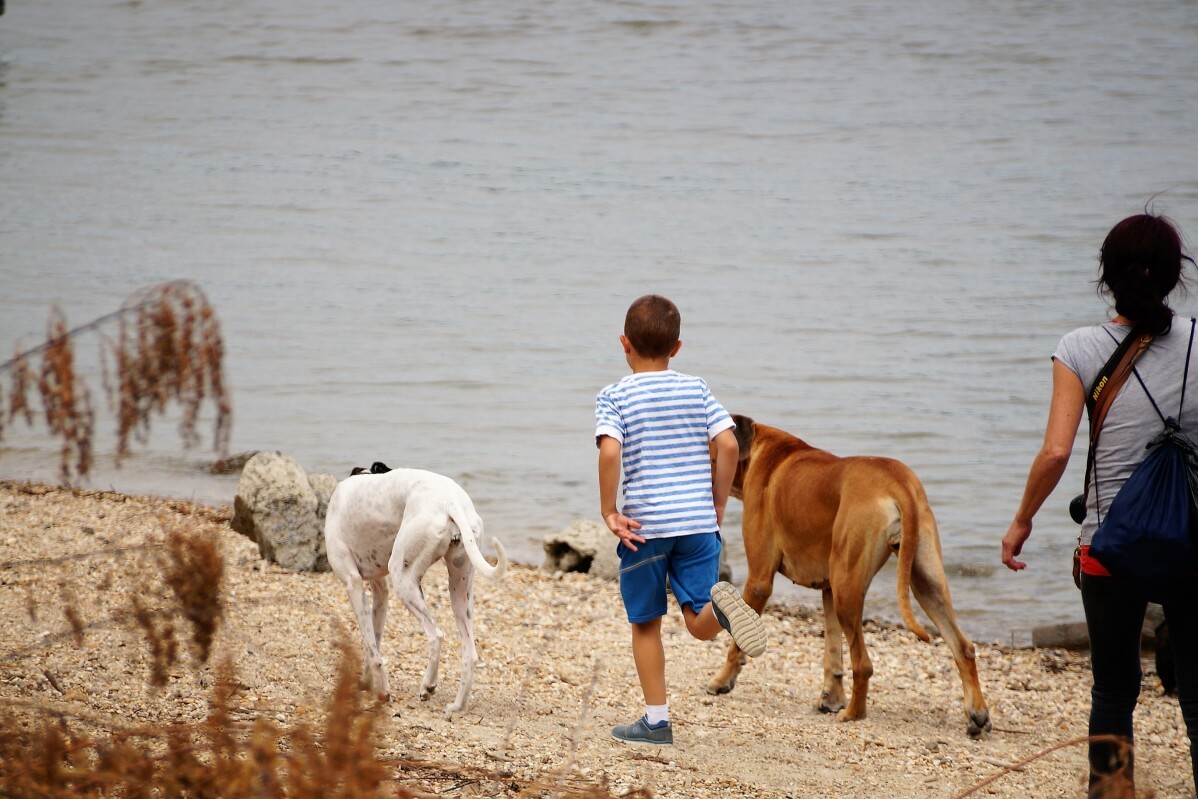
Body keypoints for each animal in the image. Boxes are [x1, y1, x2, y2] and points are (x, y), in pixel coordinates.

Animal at [323, 464, 505, 713]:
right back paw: (457, 706)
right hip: (460, 589)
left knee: (436, 635)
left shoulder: (353, 583)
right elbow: (374, 642)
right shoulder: (380, 592)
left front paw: (383, 692)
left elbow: (372, 649)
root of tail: (450, 501)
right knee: (470, 654)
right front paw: (367, 683)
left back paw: (428, 686)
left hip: (404, 579)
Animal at [709, 416, 991, 742]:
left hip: (849, 589)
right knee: (963, 648)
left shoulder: (759, 581)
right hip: (922, 581)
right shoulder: (829, 588)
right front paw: (831, 697)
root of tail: (898, 481)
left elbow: (736, 644)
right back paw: (977, 714)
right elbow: (833, 652)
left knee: (863, 664)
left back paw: (854, 714)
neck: (761, 450)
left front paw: (721, 681)